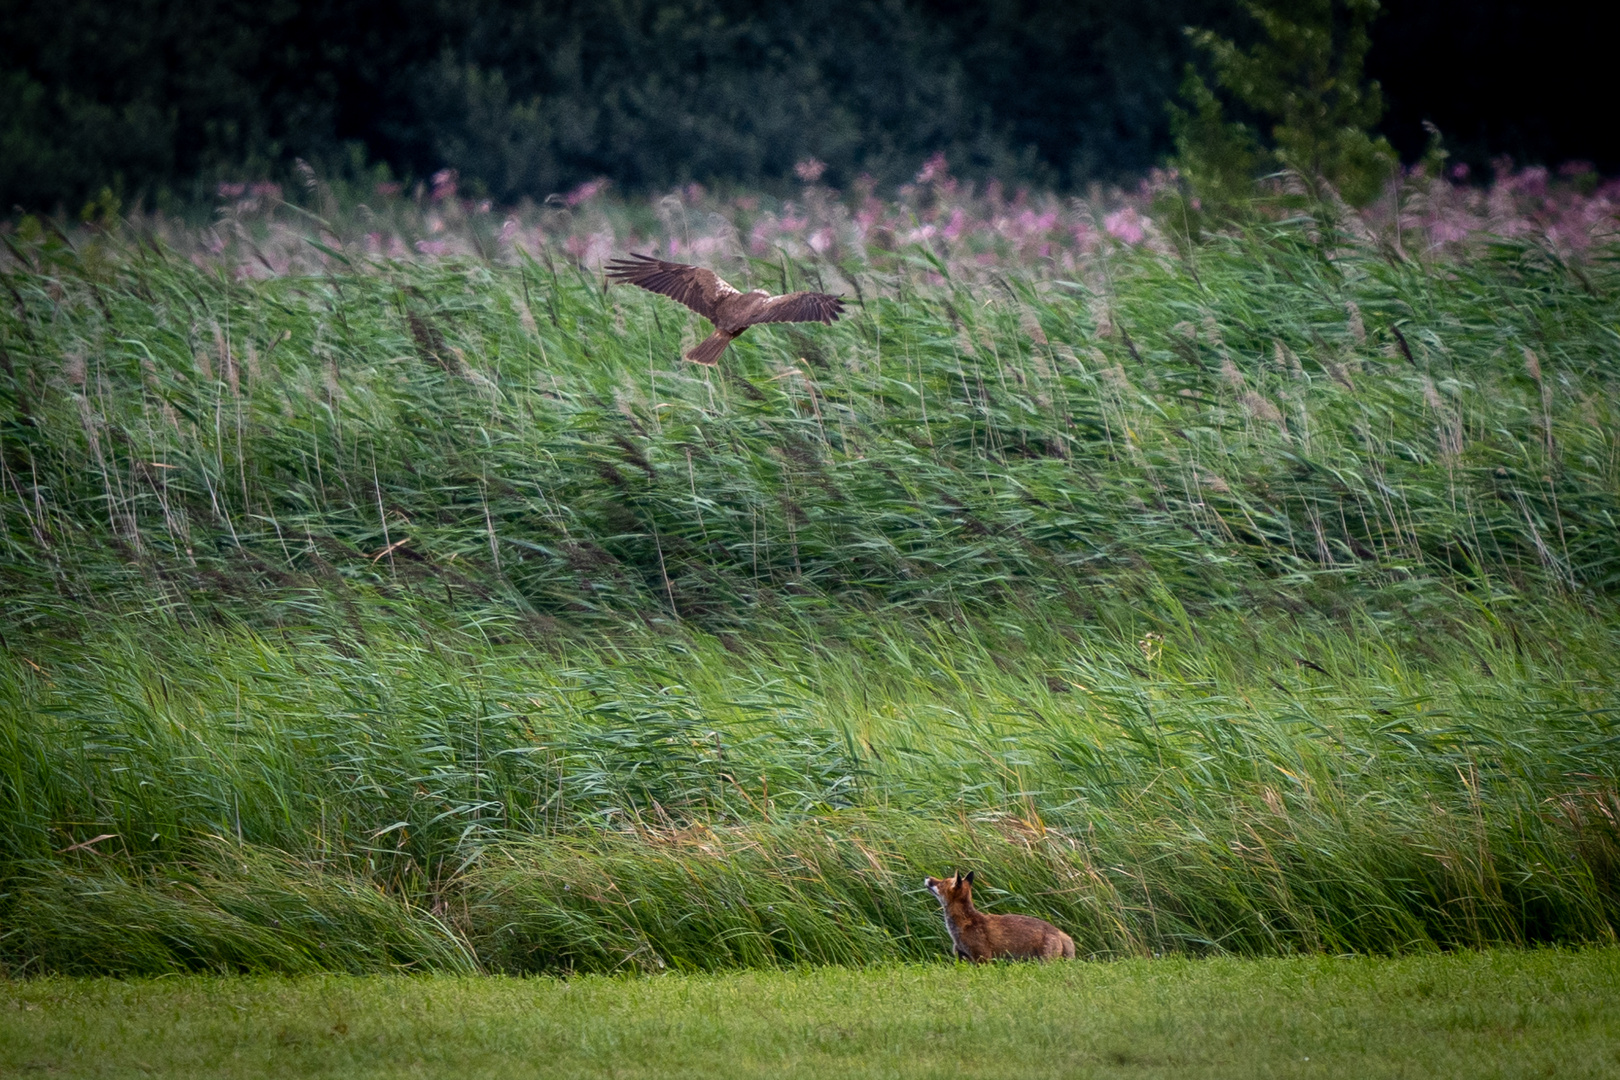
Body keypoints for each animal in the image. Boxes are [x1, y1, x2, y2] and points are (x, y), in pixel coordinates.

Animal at [926, 867, 1075, 965]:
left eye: (941, 882)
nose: (927, 877)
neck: (963, 924)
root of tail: (1058, 932)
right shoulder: (962, 957)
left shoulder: (983, 957)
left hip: (1046, 962)